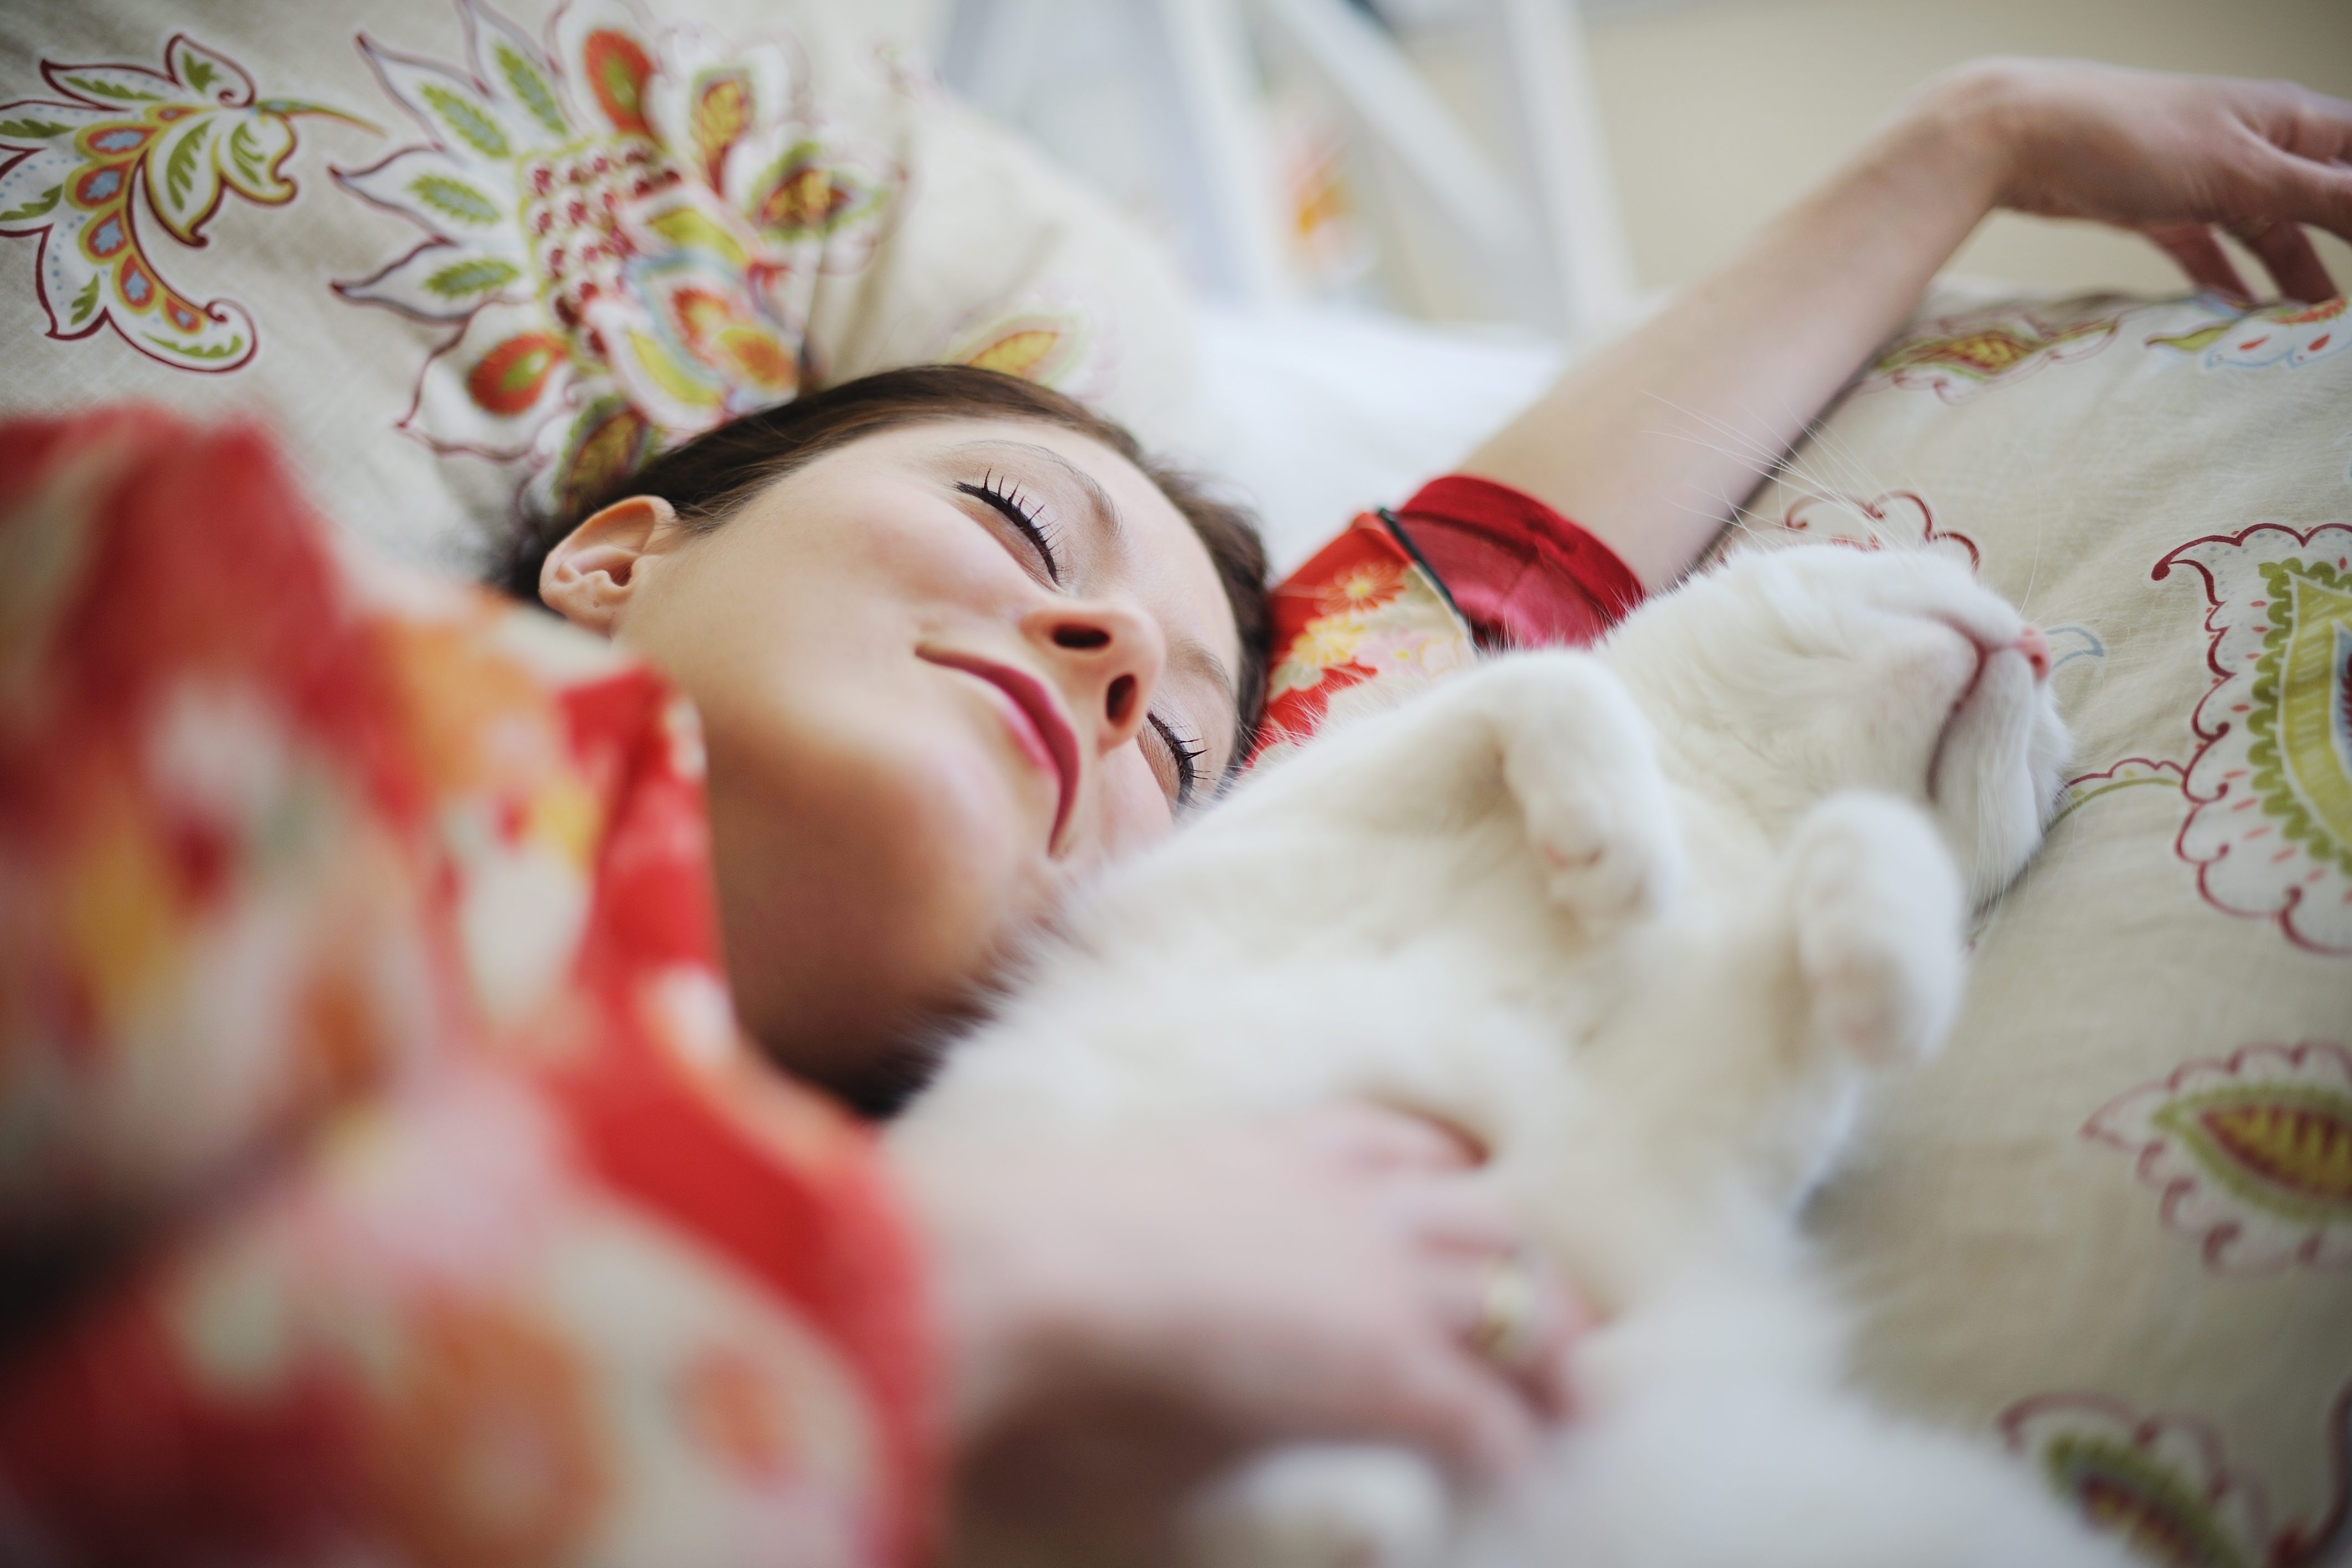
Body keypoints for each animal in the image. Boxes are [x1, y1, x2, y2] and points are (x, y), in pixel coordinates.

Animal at [889, 543, 2126, 1568]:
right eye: (1934, 562)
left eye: (2045, 761)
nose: (2028, 644)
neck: (1719, 810)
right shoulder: (1261, 842)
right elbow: (1549, 681)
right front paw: (1617, 840)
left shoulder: (1649, 1163)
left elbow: (1869, 835)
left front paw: (1892, 975)